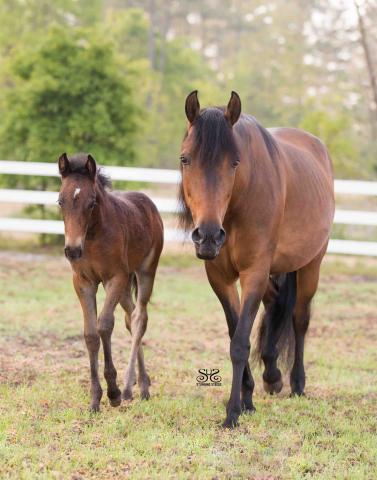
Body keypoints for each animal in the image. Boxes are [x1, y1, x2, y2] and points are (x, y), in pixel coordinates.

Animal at [57, 152, 163, 410]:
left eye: (91, 202)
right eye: (60, 201)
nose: (72, 250)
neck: (92, 237)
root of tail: (148, 202)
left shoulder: (115, 278)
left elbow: (104, 325)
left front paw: (113, 391)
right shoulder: (83, 282)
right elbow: (90, 333)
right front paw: (95, 398)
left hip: (145, 272)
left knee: (140, 318)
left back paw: (133, 388)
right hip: (124, 288)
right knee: (130, 317)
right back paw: (141, 383)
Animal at [179, 91, 334, 428]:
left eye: (235, 162)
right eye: (185, 159)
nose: (208, 236)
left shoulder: (253, 273)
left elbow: (239, 342)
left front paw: (233, 412)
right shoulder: (220, 277)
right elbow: (235, 329)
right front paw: (247, 398)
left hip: (311, 265)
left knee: (300, 318)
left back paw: (297, 383)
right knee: (276, 303)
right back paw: (273, 376)